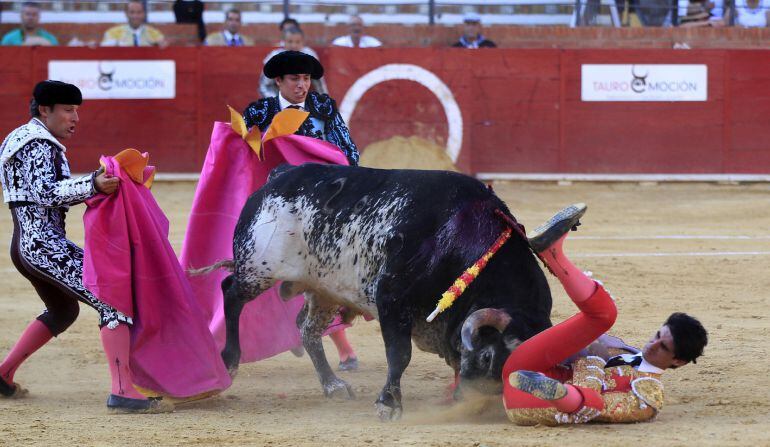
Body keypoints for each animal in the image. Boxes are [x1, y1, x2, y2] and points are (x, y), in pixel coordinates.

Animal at [219, 164, 548, 420]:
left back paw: (333, 385)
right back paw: (229, 361)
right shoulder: (391, 296)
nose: (475, 404)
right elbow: (399, 354)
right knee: (231, 294)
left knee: (307, 330)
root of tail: (279, 176)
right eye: (487, 357)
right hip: (257, 267)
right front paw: (388, 404)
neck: (459, 235)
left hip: (324, 290)